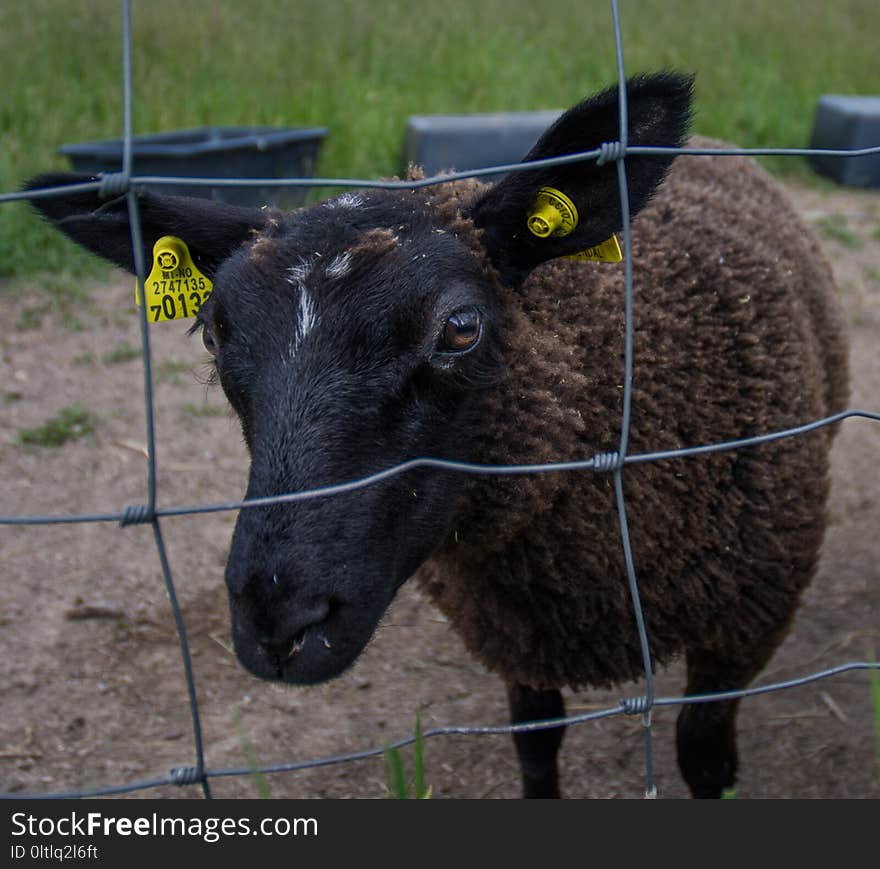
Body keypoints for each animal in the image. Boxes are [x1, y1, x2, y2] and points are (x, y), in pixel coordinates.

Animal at [27, 71, 848, 796]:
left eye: (459, 327)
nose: (278, 623)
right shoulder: (516, 638)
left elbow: (704, 759)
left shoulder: (744, 625)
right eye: (212, 333)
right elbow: (535, 747)